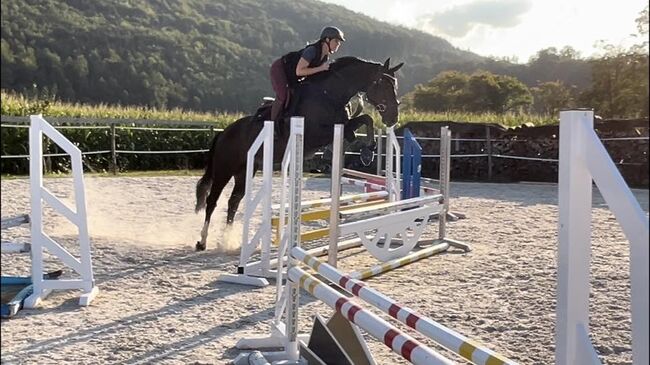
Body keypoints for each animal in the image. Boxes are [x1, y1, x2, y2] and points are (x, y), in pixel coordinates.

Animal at [195, 56, 402, 250]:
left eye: (395, 85)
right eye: (384, 85)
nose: (393, 117)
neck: (330, 95)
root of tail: (223, 133)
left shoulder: (342, 124)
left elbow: (365, 120)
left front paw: (368, 152)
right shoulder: (315, 134)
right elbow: (358, 124)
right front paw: (362, 152)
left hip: (245, 171)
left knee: (233, 202)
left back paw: (227, 240)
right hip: (224, 170)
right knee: (212, 201)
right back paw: (202, 241)